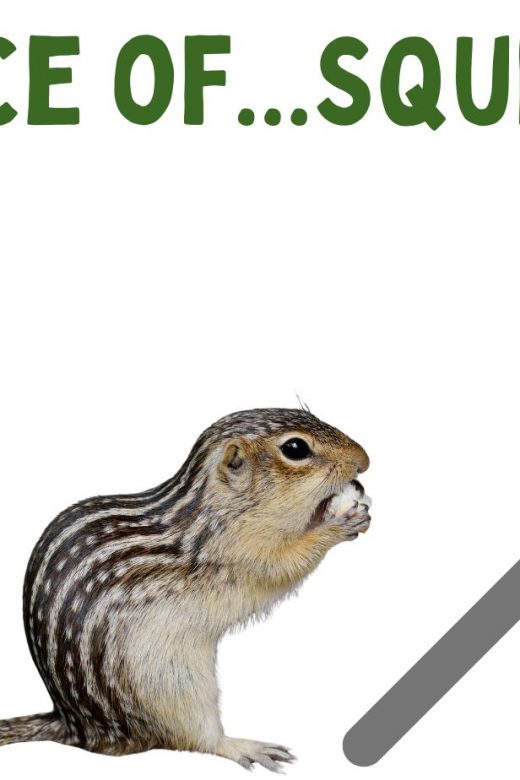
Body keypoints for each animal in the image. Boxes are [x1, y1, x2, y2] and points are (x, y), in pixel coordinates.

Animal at [0, 407, 371, 772]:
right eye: (295, 448)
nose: (364, 461)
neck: (214, 506)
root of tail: (74, 725)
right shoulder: (238, 549)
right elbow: (287, 563)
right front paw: (336, 524)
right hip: (174, 687)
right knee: (198, 739)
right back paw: (243, 746)